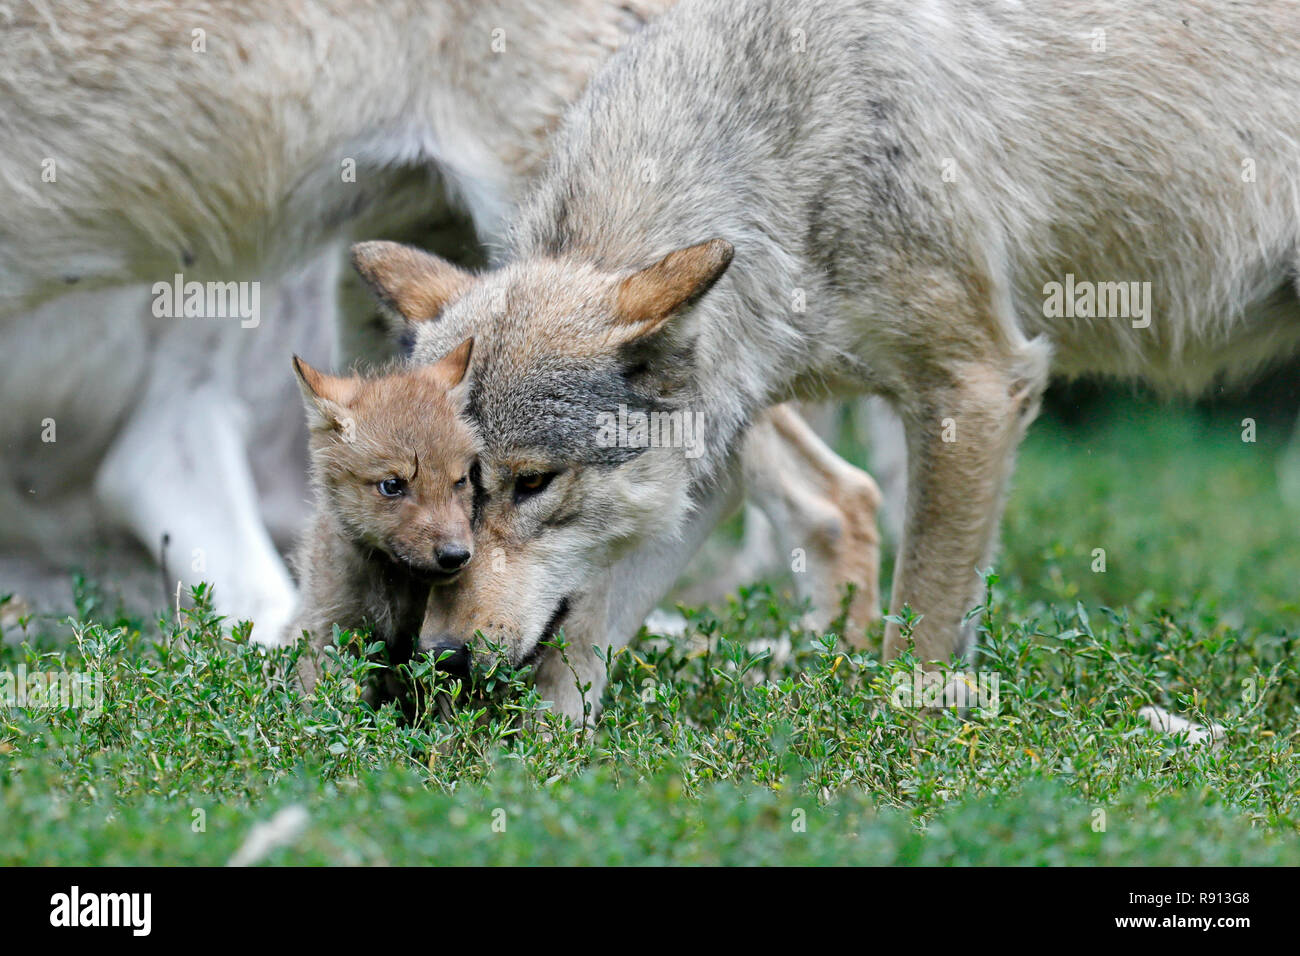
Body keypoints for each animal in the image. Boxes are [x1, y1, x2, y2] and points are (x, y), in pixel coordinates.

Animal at [353, 0, 1300, 717]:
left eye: (532, 484)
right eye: (439, 489)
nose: (438, 656)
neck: (786, 160)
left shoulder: (978, 386)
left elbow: (917, 637)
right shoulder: (714, 454)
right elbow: (578, 651)